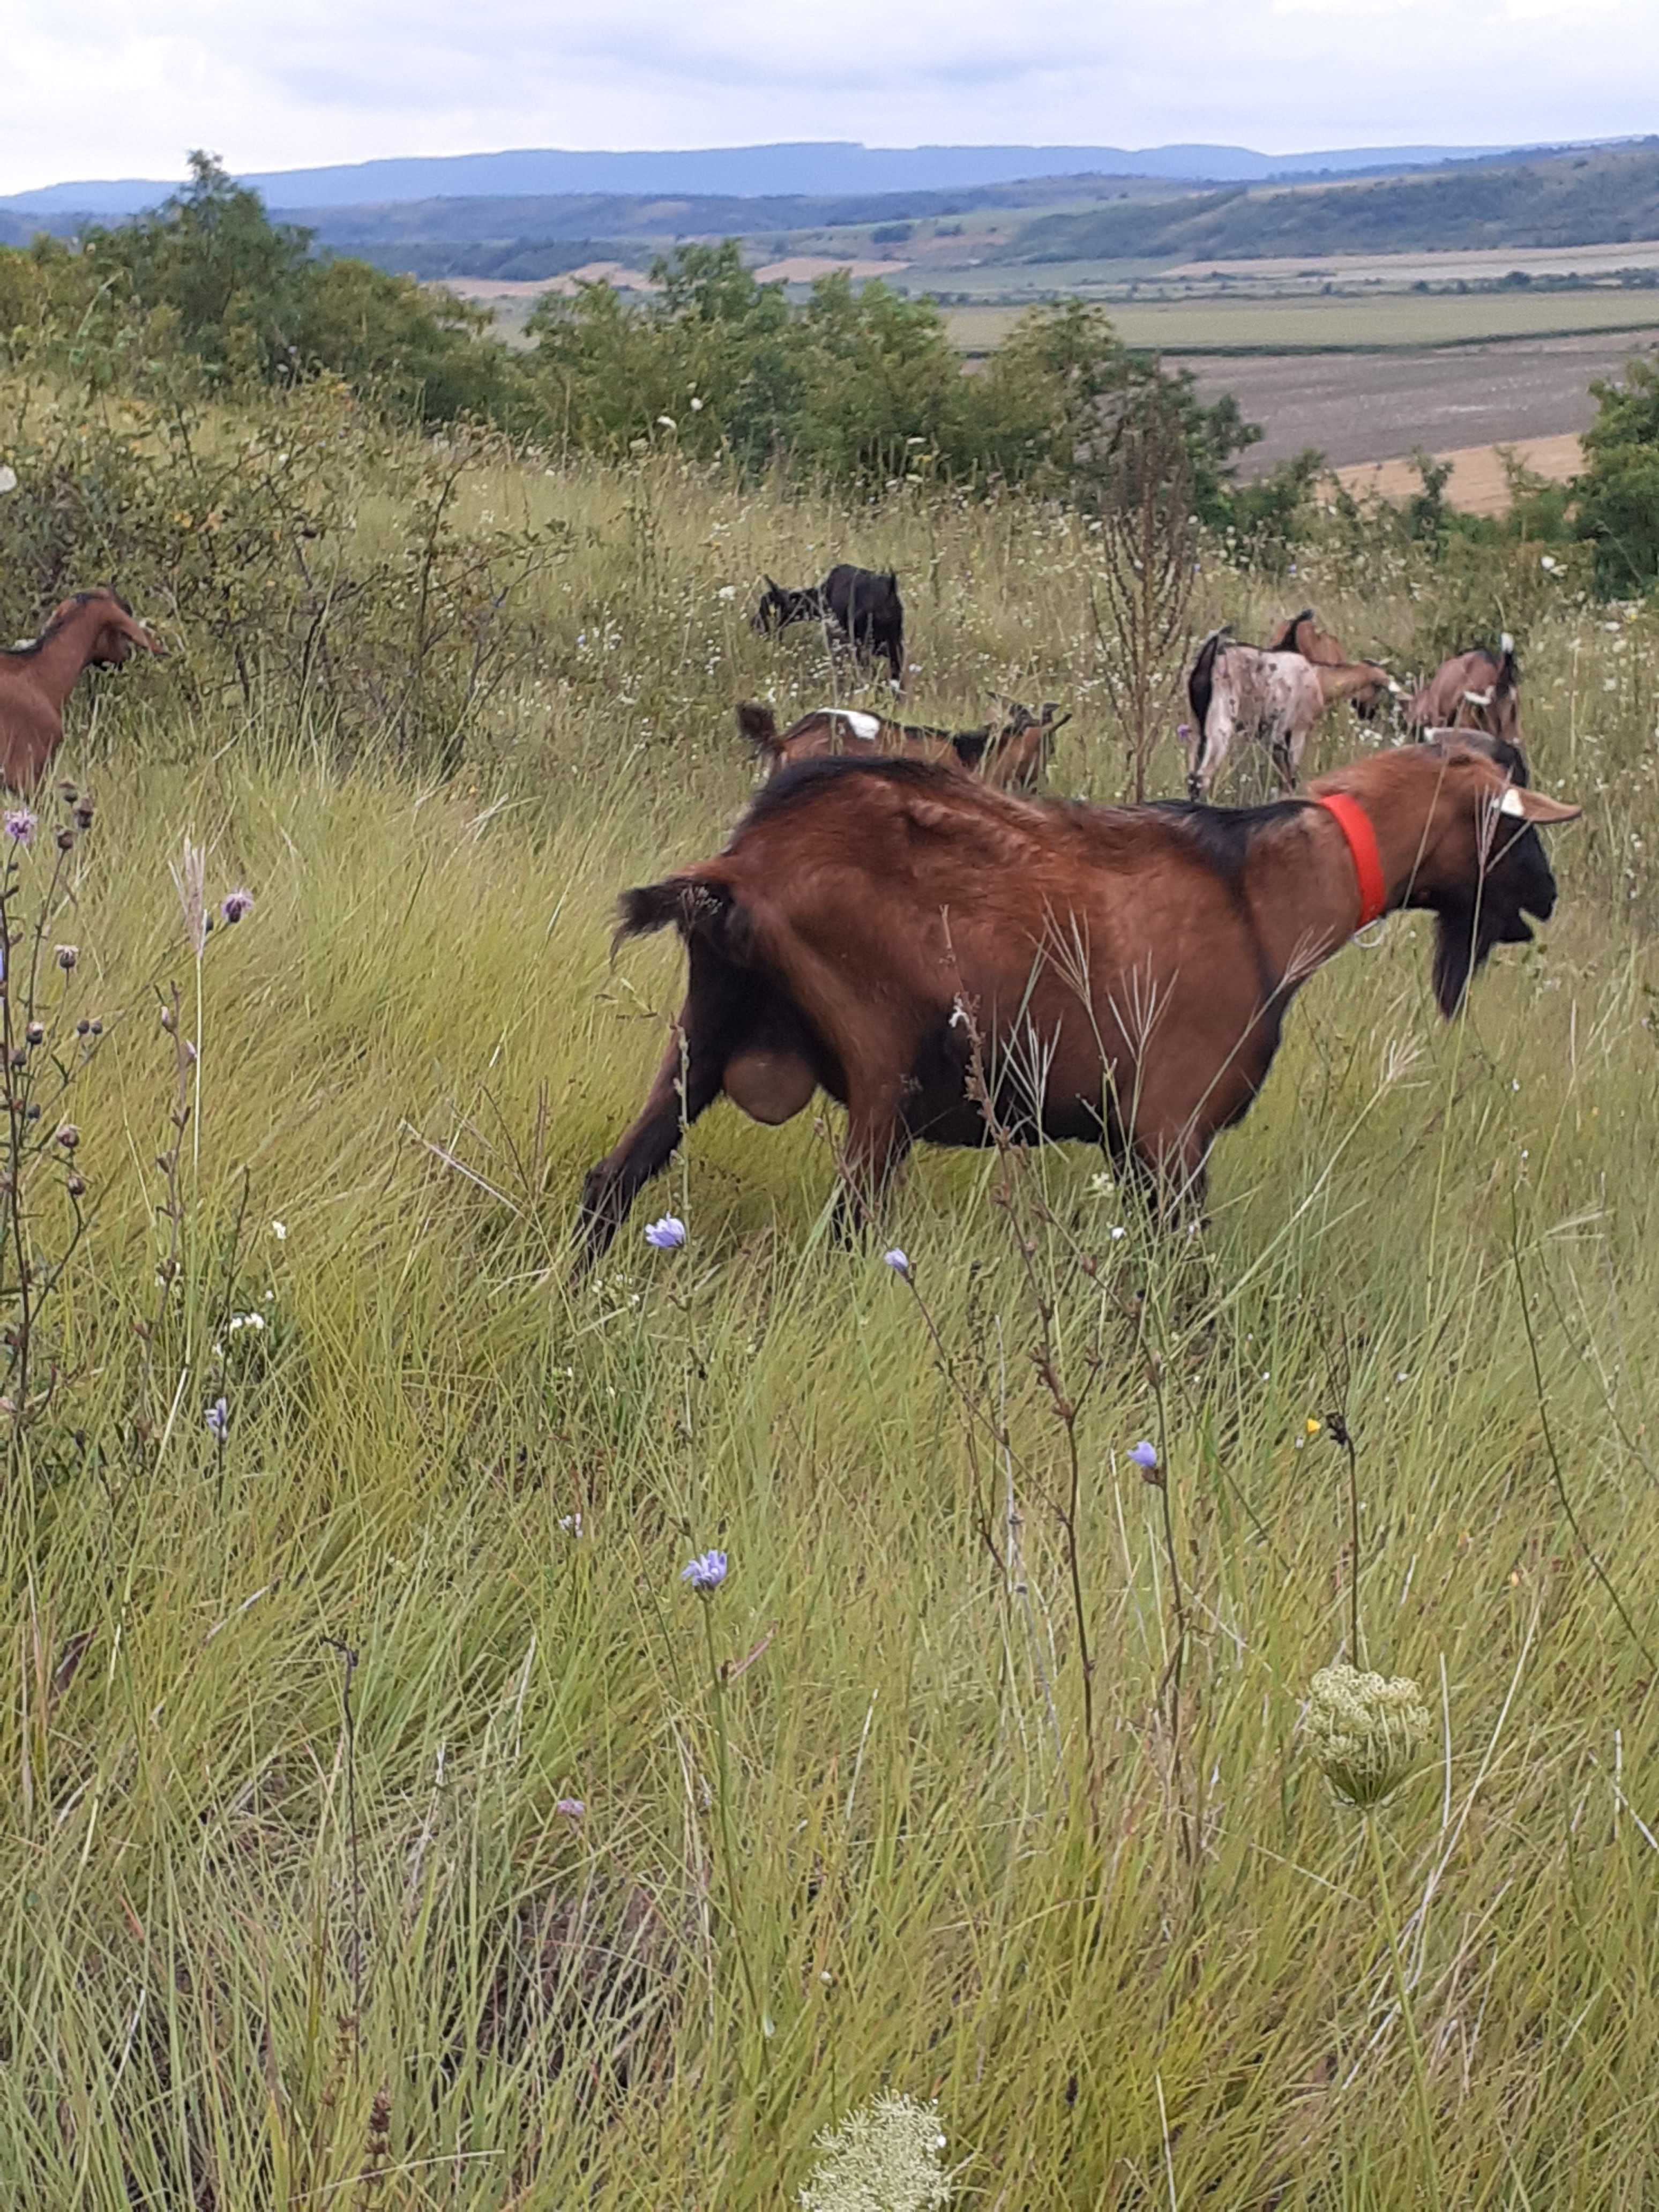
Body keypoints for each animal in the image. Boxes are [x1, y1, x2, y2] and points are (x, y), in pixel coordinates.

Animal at [584, 734, 1583, 1265]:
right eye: (1517, 823)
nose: (1547, 895)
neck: (1267, 893)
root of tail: (742, 865)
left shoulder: (1133, 1146)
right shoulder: (1172, 1132)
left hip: (706, 1034)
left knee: (612, 1181)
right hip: (882, 1069)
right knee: (848, 1227)